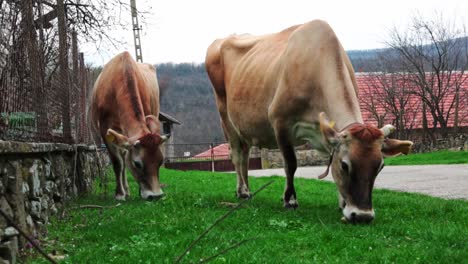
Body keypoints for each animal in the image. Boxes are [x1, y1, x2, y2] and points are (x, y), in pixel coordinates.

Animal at [88, 51, 167, 200]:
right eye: (137, 163)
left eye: (160, 161)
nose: (156, 196)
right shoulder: (104, 130)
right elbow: (117, 163)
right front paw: (119, 194)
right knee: (122, 160)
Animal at [206, 20, 414, 223]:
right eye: (345, 165)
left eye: (380, 167)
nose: (363, 216)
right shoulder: (280, 121)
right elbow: (290, 164)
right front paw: (290, 199)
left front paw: (342, 202)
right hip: (225, 115)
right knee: (237, 155)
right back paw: (243, 191)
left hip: (244, 126)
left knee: (245, 155)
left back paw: (247, 191)